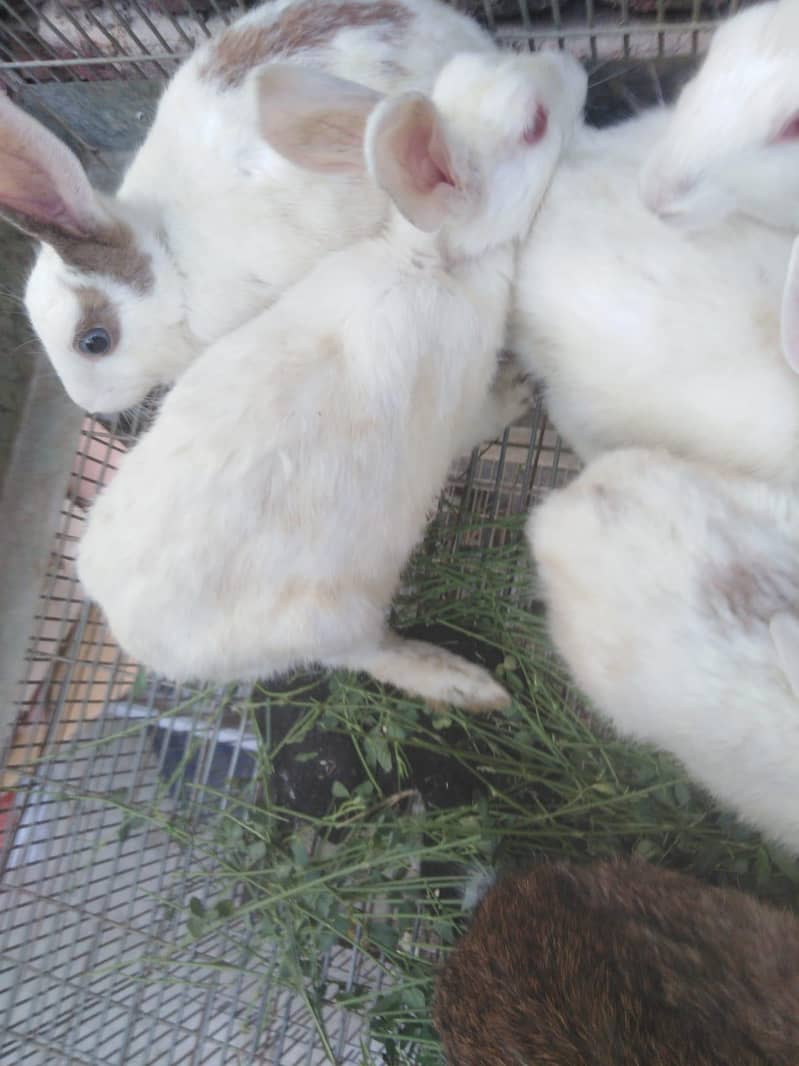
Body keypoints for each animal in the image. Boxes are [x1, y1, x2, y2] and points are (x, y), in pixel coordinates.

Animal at [76, 49, 589, 710]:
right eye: (535, 125)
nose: (574, 66)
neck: (430, 262)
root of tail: (132, 634)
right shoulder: (460, 408)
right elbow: (484, 417)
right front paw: (520, 389)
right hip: (333, 618)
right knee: (369, 656)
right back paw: (466, 684)